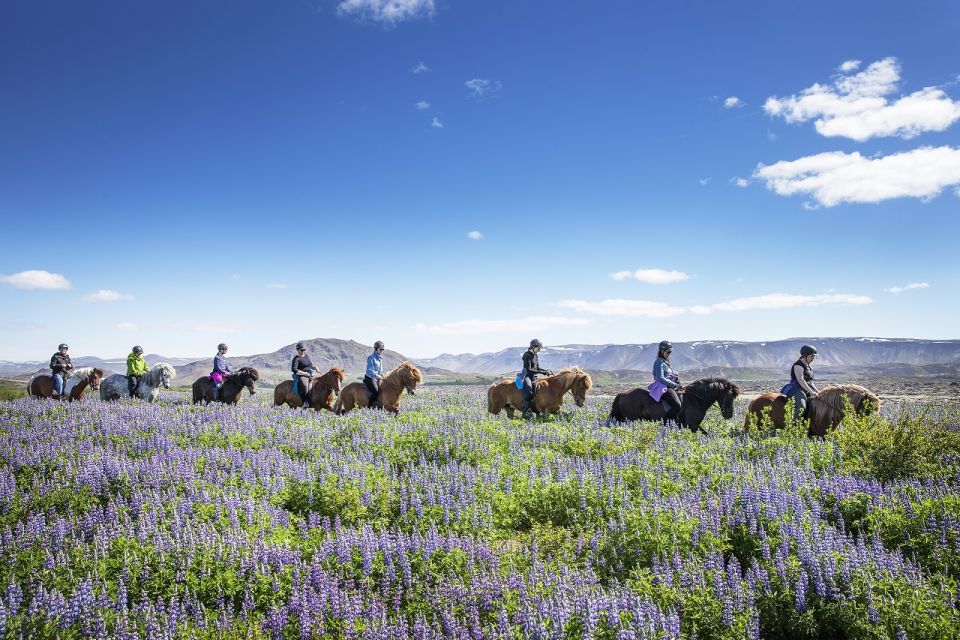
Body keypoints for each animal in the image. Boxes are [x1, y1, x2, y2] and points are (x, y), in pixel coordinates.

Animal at [608, 378, 744, 432]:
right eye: (729, 396)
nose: (729, 415)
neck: (695, 399)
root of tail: (623, 394)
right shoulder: (692, 425)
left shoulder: (693, 425)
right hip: (631, 419)